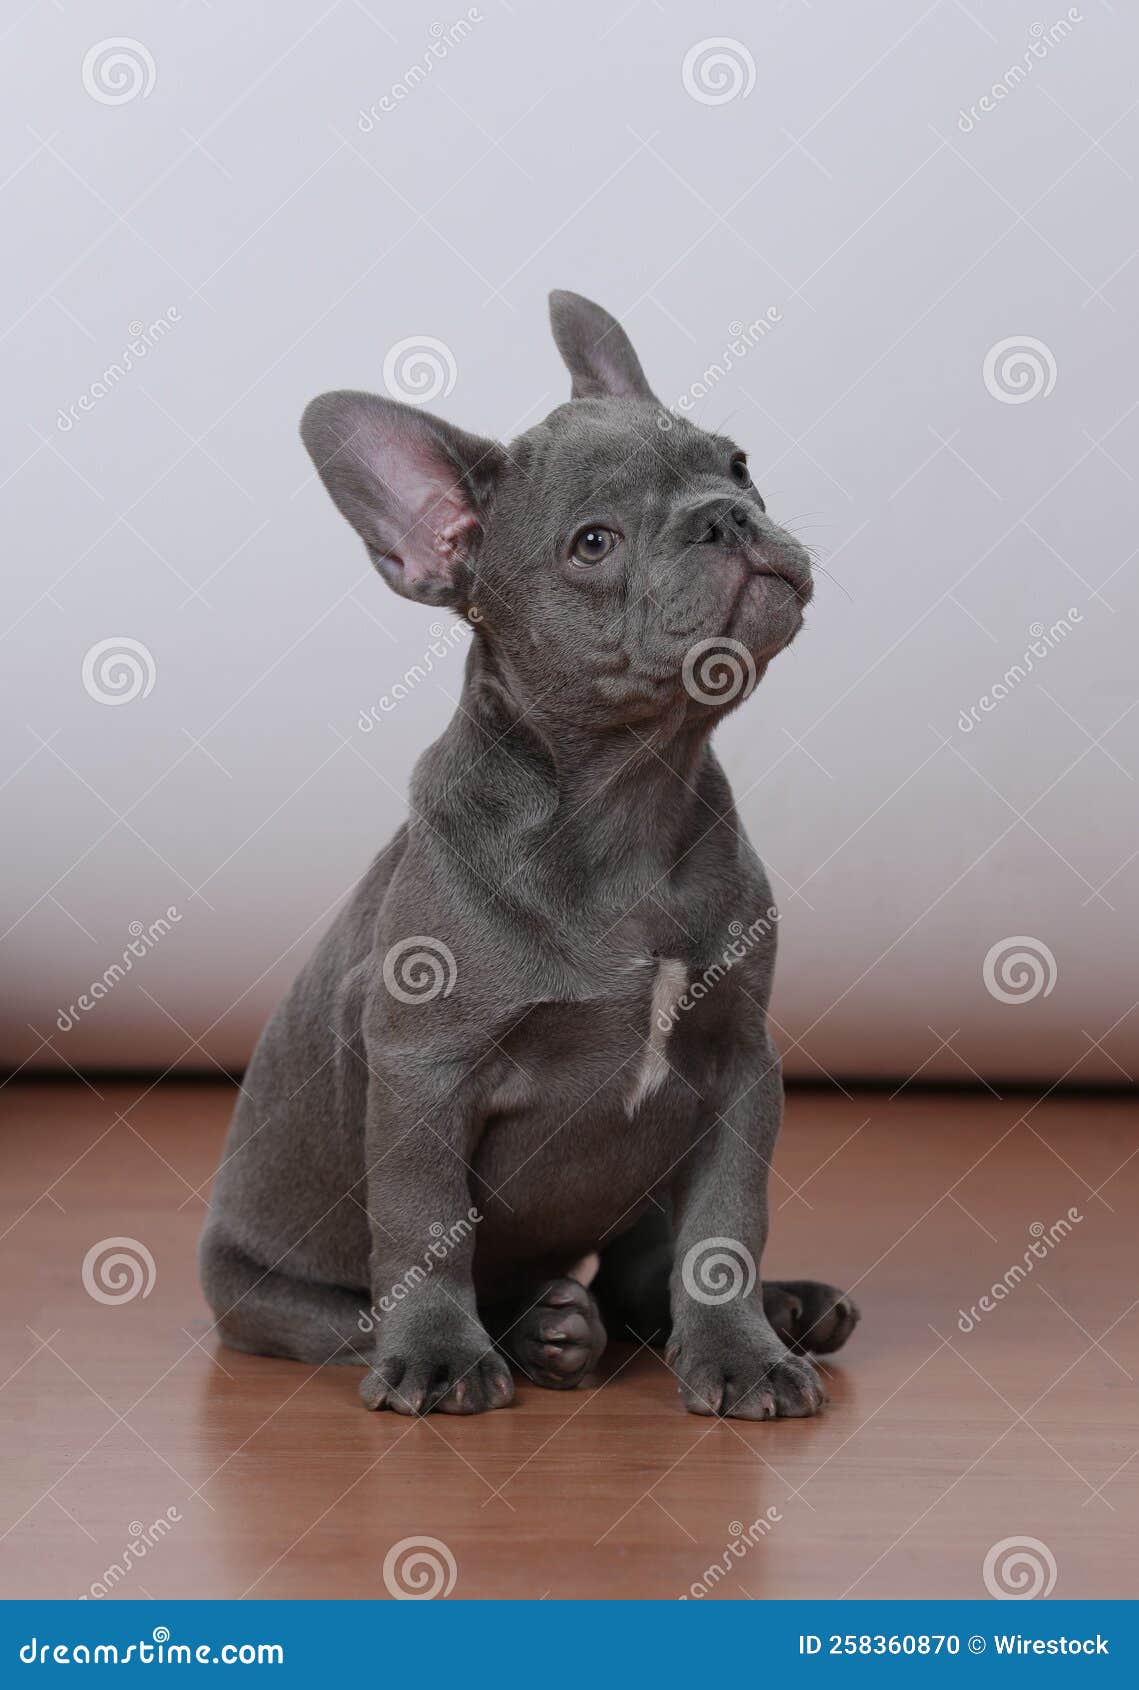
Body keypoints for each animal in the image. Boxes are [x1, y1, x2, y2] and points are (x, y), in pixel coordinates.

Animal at [199, 290, 855, 1412]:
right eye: (592, 543)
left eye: (736, 464)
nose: (724, 516)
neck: (627, 801)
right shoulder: (422, 1075)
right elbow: (421, 1227)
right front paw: (439, 1354)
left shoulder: (736, 1066)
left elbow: (722, 1228)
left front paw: (738, 1349)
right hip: (265, 1294)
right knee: (357, 1311)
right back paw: (534, 1332)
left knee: (639, 1271)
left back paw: (768, 1309)